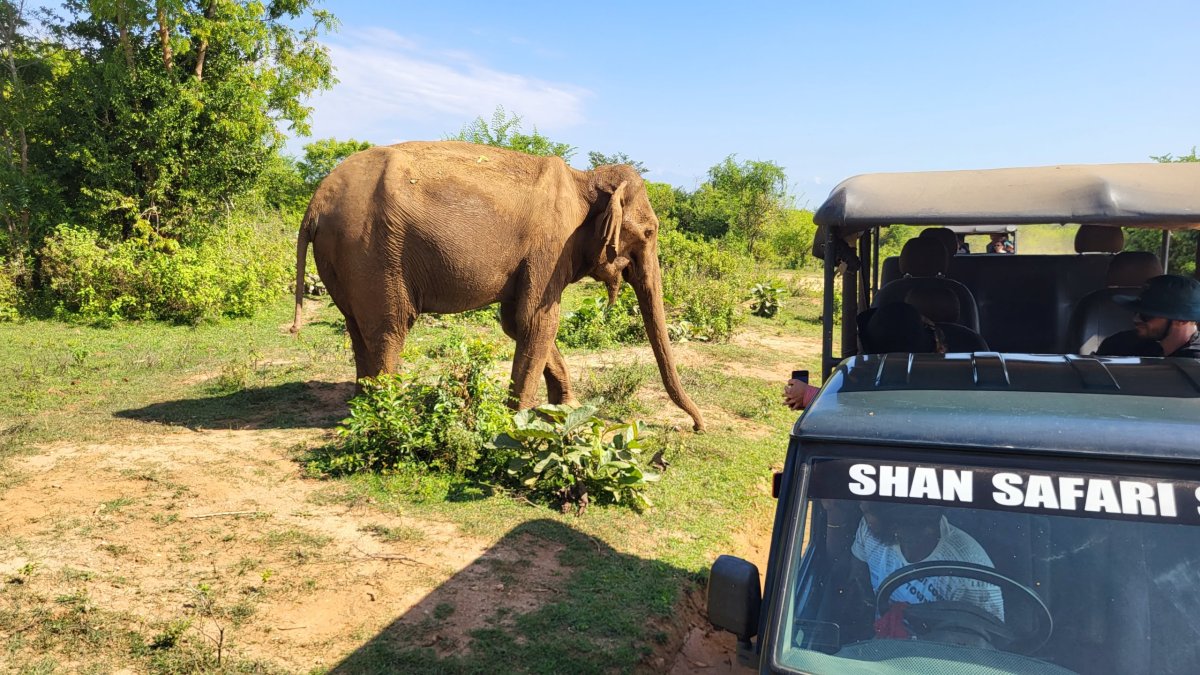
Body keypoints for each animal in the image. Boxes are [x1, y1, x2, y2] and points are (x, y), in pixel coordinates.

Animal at [290, 139, 700, 427]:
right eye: (649, 232)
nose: (698, 426)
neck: (585, 180)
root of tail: (315, 203)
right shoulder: (550, 247)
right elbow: (538, 321)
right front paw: (518, 422)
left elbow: (516, 323)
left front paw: (568, 409)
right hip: (372, 253)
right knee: (390, 329)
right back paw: (391, 419)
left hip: (344, 259)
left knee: (357, 328)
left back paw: (361, 411)